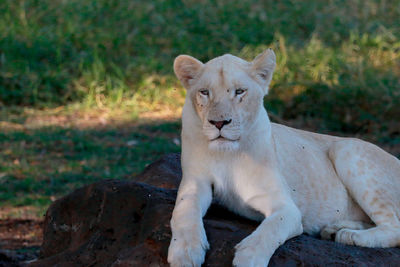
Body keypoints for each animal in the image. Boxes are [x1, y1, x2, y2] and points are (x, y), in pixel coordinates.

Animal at [166, 49, 400, 266]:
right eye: (204, 92)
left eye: (239, 91)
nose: (219, 123)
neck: (227, 154)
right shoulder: (195, 181)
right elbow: (184, 212)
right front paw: (184, 252)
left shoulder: (287, 208)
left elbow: (269, 230)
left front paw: (248, 259)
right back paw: (334, 229)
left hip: (348, 149)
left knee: (394, 228)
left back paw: (348, 235)